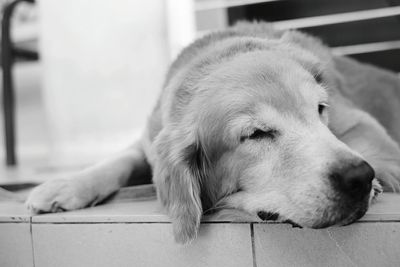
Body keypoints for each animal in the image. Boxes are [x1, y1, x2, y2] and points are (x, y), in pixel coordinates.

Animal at [25, 22, 400, 245]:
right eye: (256, 134)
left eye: (320, 109)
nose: (359, 177)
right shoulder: (148, 141)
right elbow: (118, 159)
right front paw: (66, 184)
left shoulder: (361, 123)